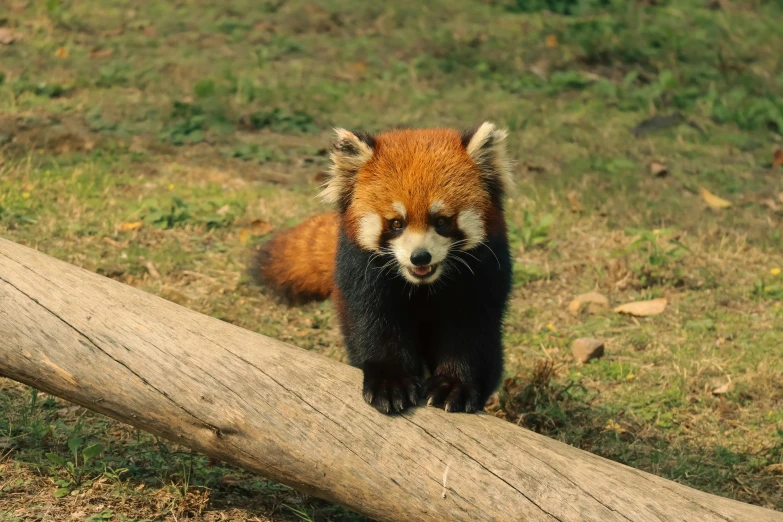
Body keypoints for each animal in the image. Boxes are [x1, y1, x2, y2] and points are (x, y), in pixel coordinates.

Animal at [251, 123, 516, 414]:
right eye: (396, 223)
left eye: (442, 221)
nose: (420, 257)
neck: (421, 286)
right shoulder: (361, 272)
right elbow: (375, 324)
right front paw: (391, 382)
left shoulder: (483, 273)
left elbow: (470, 328)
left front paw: (454, 384)